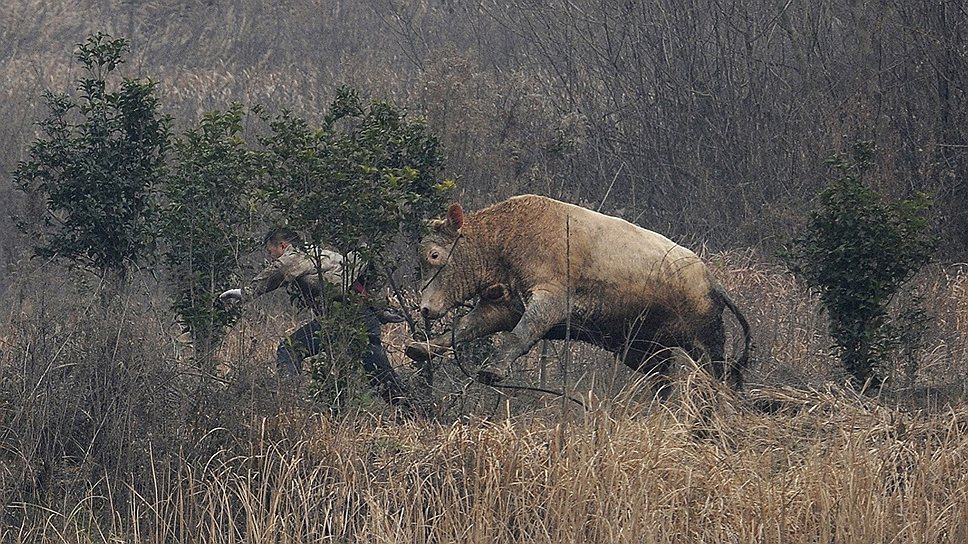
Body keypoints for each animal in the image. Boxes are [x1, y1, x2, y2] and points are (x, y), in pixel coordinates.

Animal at [404, 193, 752, 394]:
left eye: (435, 255)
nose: (424, 309)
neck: (506, 238)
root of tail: (713, 282)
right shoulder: (502, 307)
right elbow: (464, 327)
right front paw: (423, 347)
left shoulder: (550, 299)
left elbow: (520, 334)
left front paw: (493, 369)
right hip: (644, 351)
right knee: (664, 381)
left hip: (705, 346)